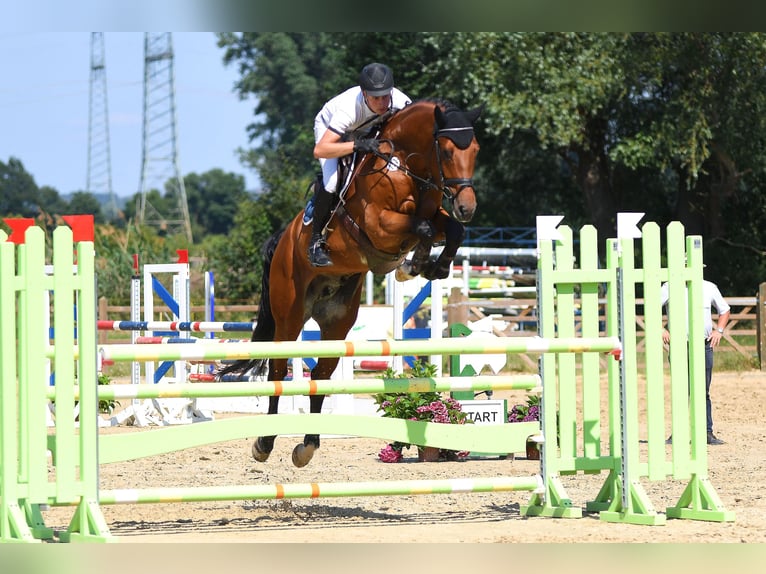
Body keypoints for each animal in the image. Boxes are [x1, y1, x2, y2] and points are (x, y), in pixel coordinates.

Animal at [218, 99, 480, 468]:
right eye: (445, 150)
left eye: (476, 150)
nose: (466, 206)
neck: (405, 166)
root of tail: (282, 239)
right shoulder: (380, 224)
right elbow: (422, 228)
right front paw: (412, 264)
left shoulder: (434, 214)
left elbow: (451, 229)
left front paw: (432, 266)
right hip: (289, 314)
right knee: (278, 371)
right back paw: (265, 443)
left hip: (337, 321)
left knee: (319, 378)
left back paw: (308, 445)